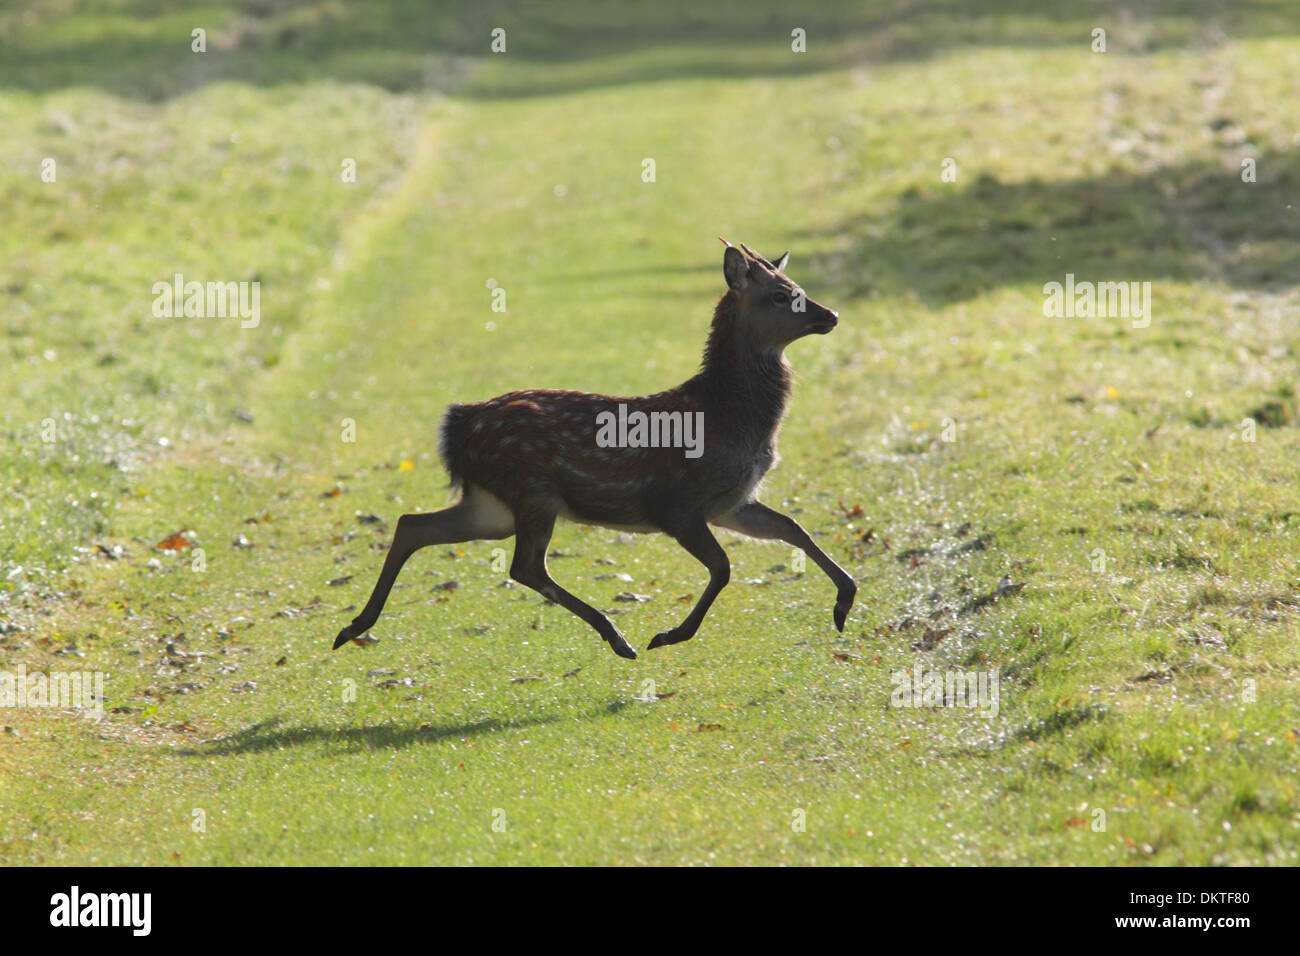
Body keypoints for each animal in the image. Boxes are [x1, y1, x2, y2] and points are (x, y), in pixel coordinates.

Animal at [332, 239, 857, 660]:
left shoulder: (732, 501)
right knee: (525, 565)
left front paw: (845, 600)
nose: (831, 315)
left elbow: (790, 527)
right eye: (780, 295)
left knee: (413, 525)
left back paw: (353, 626)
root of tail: (456, 425)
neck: (726, 415)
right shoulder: (676, 503)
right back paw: (617, 637)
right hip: (531, 489)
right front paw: (670, 635)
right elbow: (724, 568)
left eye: (796, 285)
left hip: (492, 503)